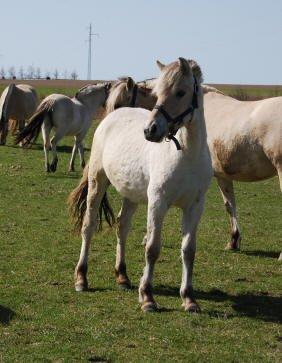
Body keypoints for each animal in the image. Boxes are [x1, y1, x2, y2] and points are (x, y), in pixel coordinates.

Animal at [69, 57, 213, 312]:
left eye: (180, 92)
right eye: (157, 94)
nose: (150, 130)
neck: (187, 154)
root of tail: (112, 117)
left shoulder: (195, 206)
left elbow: (188, 251)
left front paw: (189, 298)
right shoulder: (158, 202)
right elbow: (152, 248)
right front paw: (147, 296)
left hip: (132, 195)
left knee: (122, 225)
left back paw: (122, 276)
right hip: (97, 182)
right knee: (89, 225)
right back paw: (81, 278)